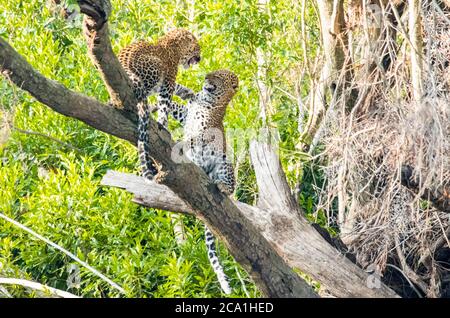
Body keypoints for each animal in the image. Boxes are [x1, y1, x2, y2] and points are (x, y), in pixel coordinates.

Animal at [118, 28, 200, 180]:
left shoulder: (165, 83)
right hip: (155, 66)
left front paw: (187, 92)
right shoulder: (168, 82)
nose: (200, 58)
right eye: (198, 48)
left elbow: (177, 88)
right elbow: (164, 104)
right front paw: (163, 124)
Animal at [168, 69, 239, 294]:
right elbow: (178, 105)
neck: (206, 100)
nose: (207, 76)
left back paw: (223, 186)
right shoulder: (186, 113)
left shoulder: (206, 129)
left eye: (220, 76)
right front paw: (179, 90)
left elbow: (195, 137)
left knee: (229, 185)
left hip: (224, 163)